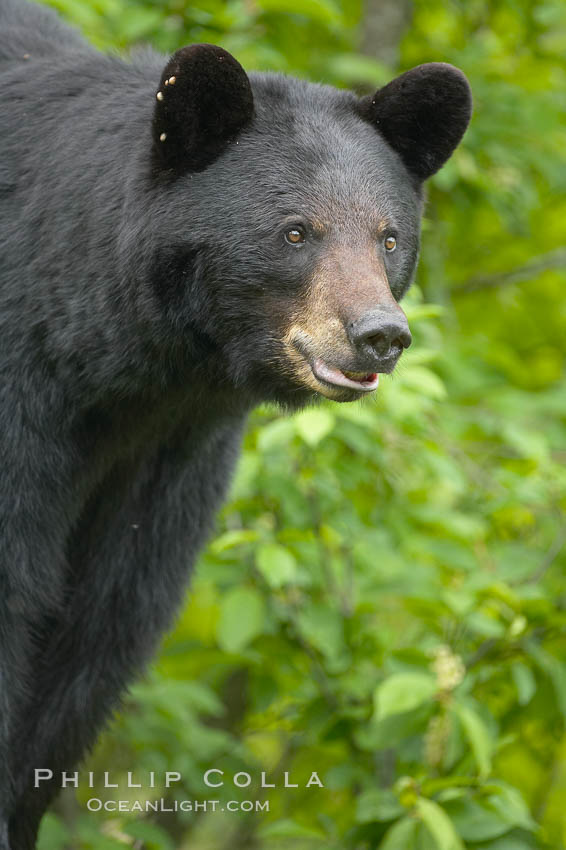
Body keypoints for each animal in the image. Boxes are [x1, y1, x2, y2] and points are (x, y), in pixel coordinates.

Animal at [0, 0, 470, 840]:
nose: (380, 335)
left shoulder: (170, 457)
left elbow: (97, 636)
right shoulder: (23, 402)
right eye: (295, 231)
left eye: (389, 236)